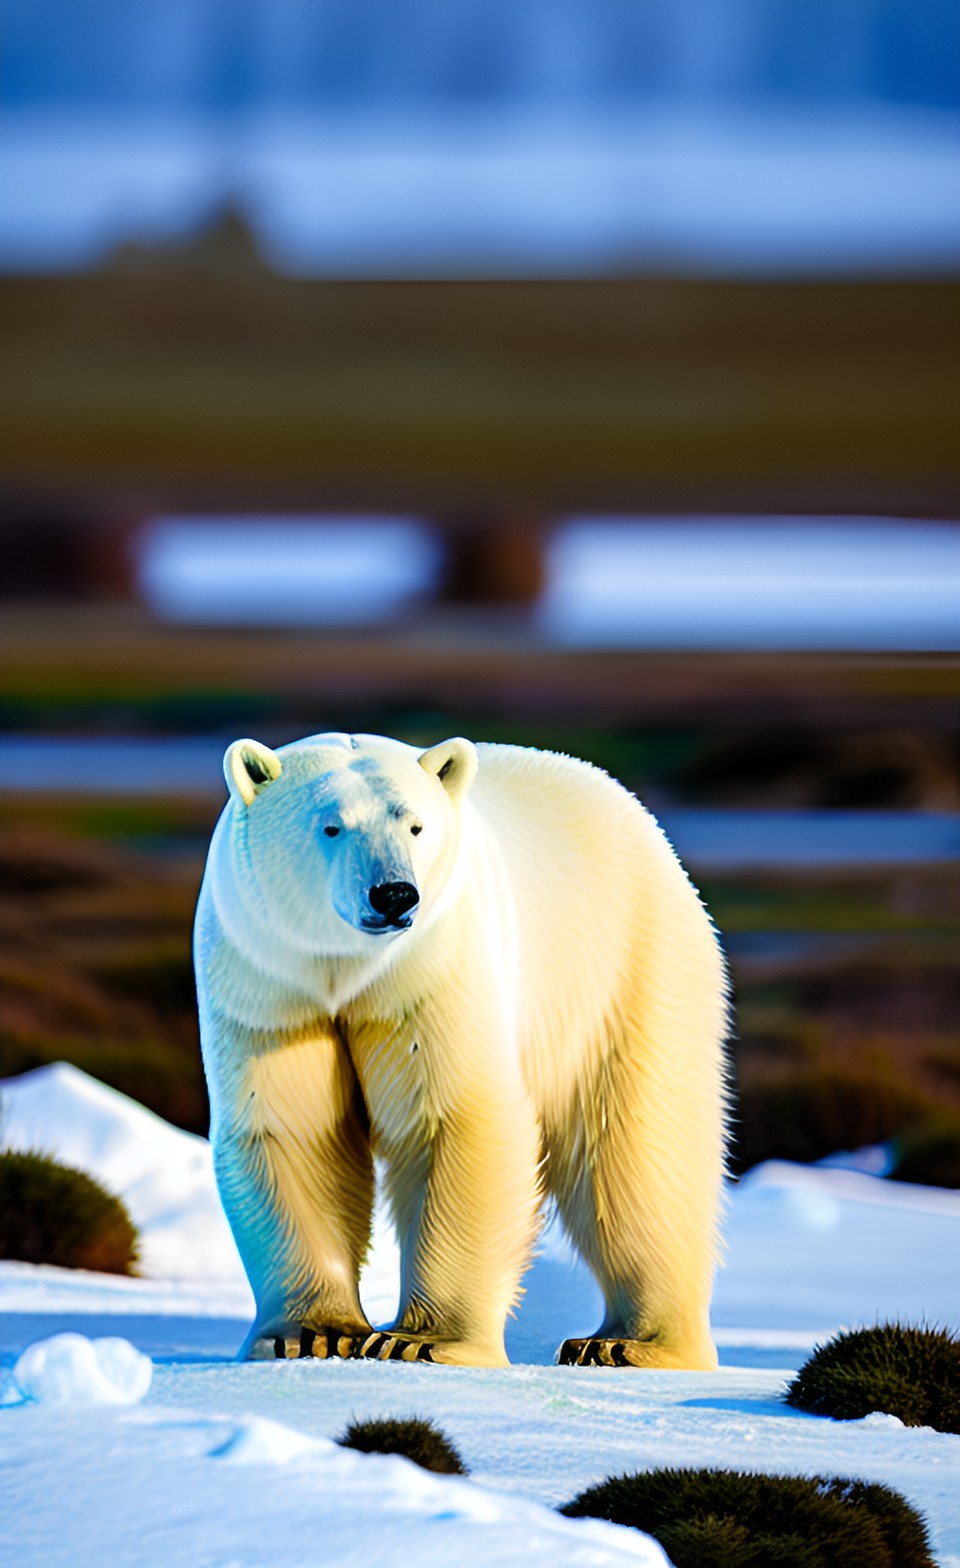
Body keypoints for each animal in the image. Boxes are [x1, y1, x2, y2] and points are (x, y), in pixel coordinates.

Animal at [195, 727, 727, 1367]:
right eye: (331, 826)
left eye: (415, 825)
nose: (394, 895)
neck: (348, 971)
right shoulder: (269, 987)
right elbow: (293, 1128)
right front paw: (311, 1333)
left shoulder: (431, 974)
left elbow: (458, 1120)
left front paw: (417, 1340)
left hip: (627, 968)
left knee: (635, 1151)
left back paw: (627, 1343)